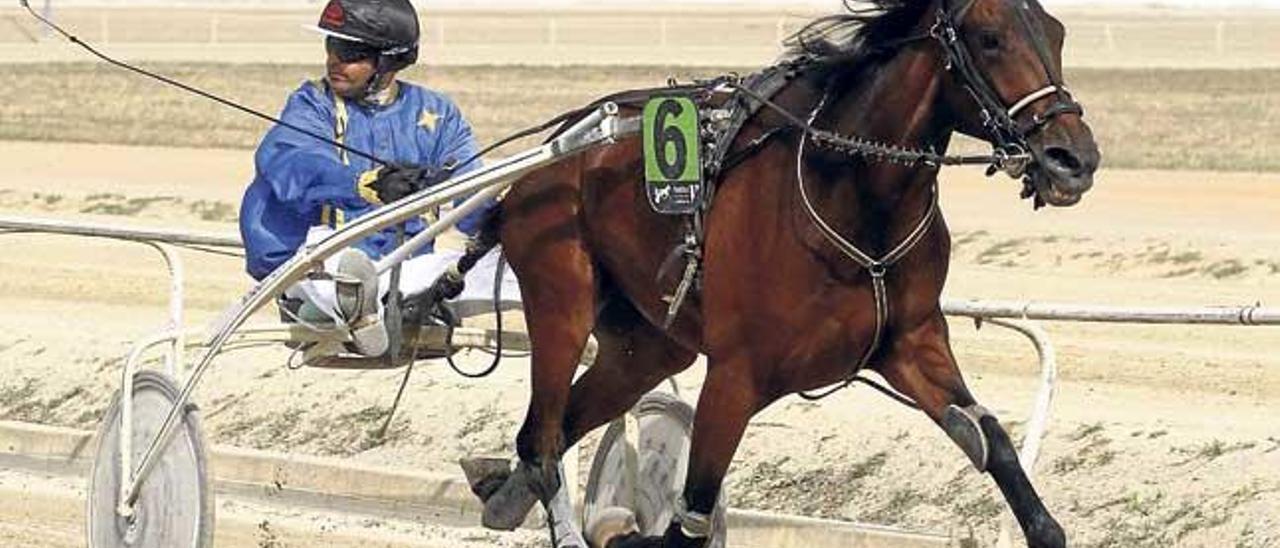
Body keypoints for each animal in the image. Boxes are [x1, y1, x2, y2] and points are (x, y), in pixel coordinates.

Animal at [465, 0, 1095, 545]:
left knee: (561, 427)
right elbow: (690, 516)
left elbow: (993, 443)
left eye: (1060, 33)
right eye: (990, 38)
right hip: (562, 300)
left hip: (646, 347)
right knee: (543, 443)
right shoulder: (736, 376)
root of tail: (551, 154)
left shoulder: (913, 343)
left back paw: (501, 492)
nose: (1075, 159)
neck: (850, 196)